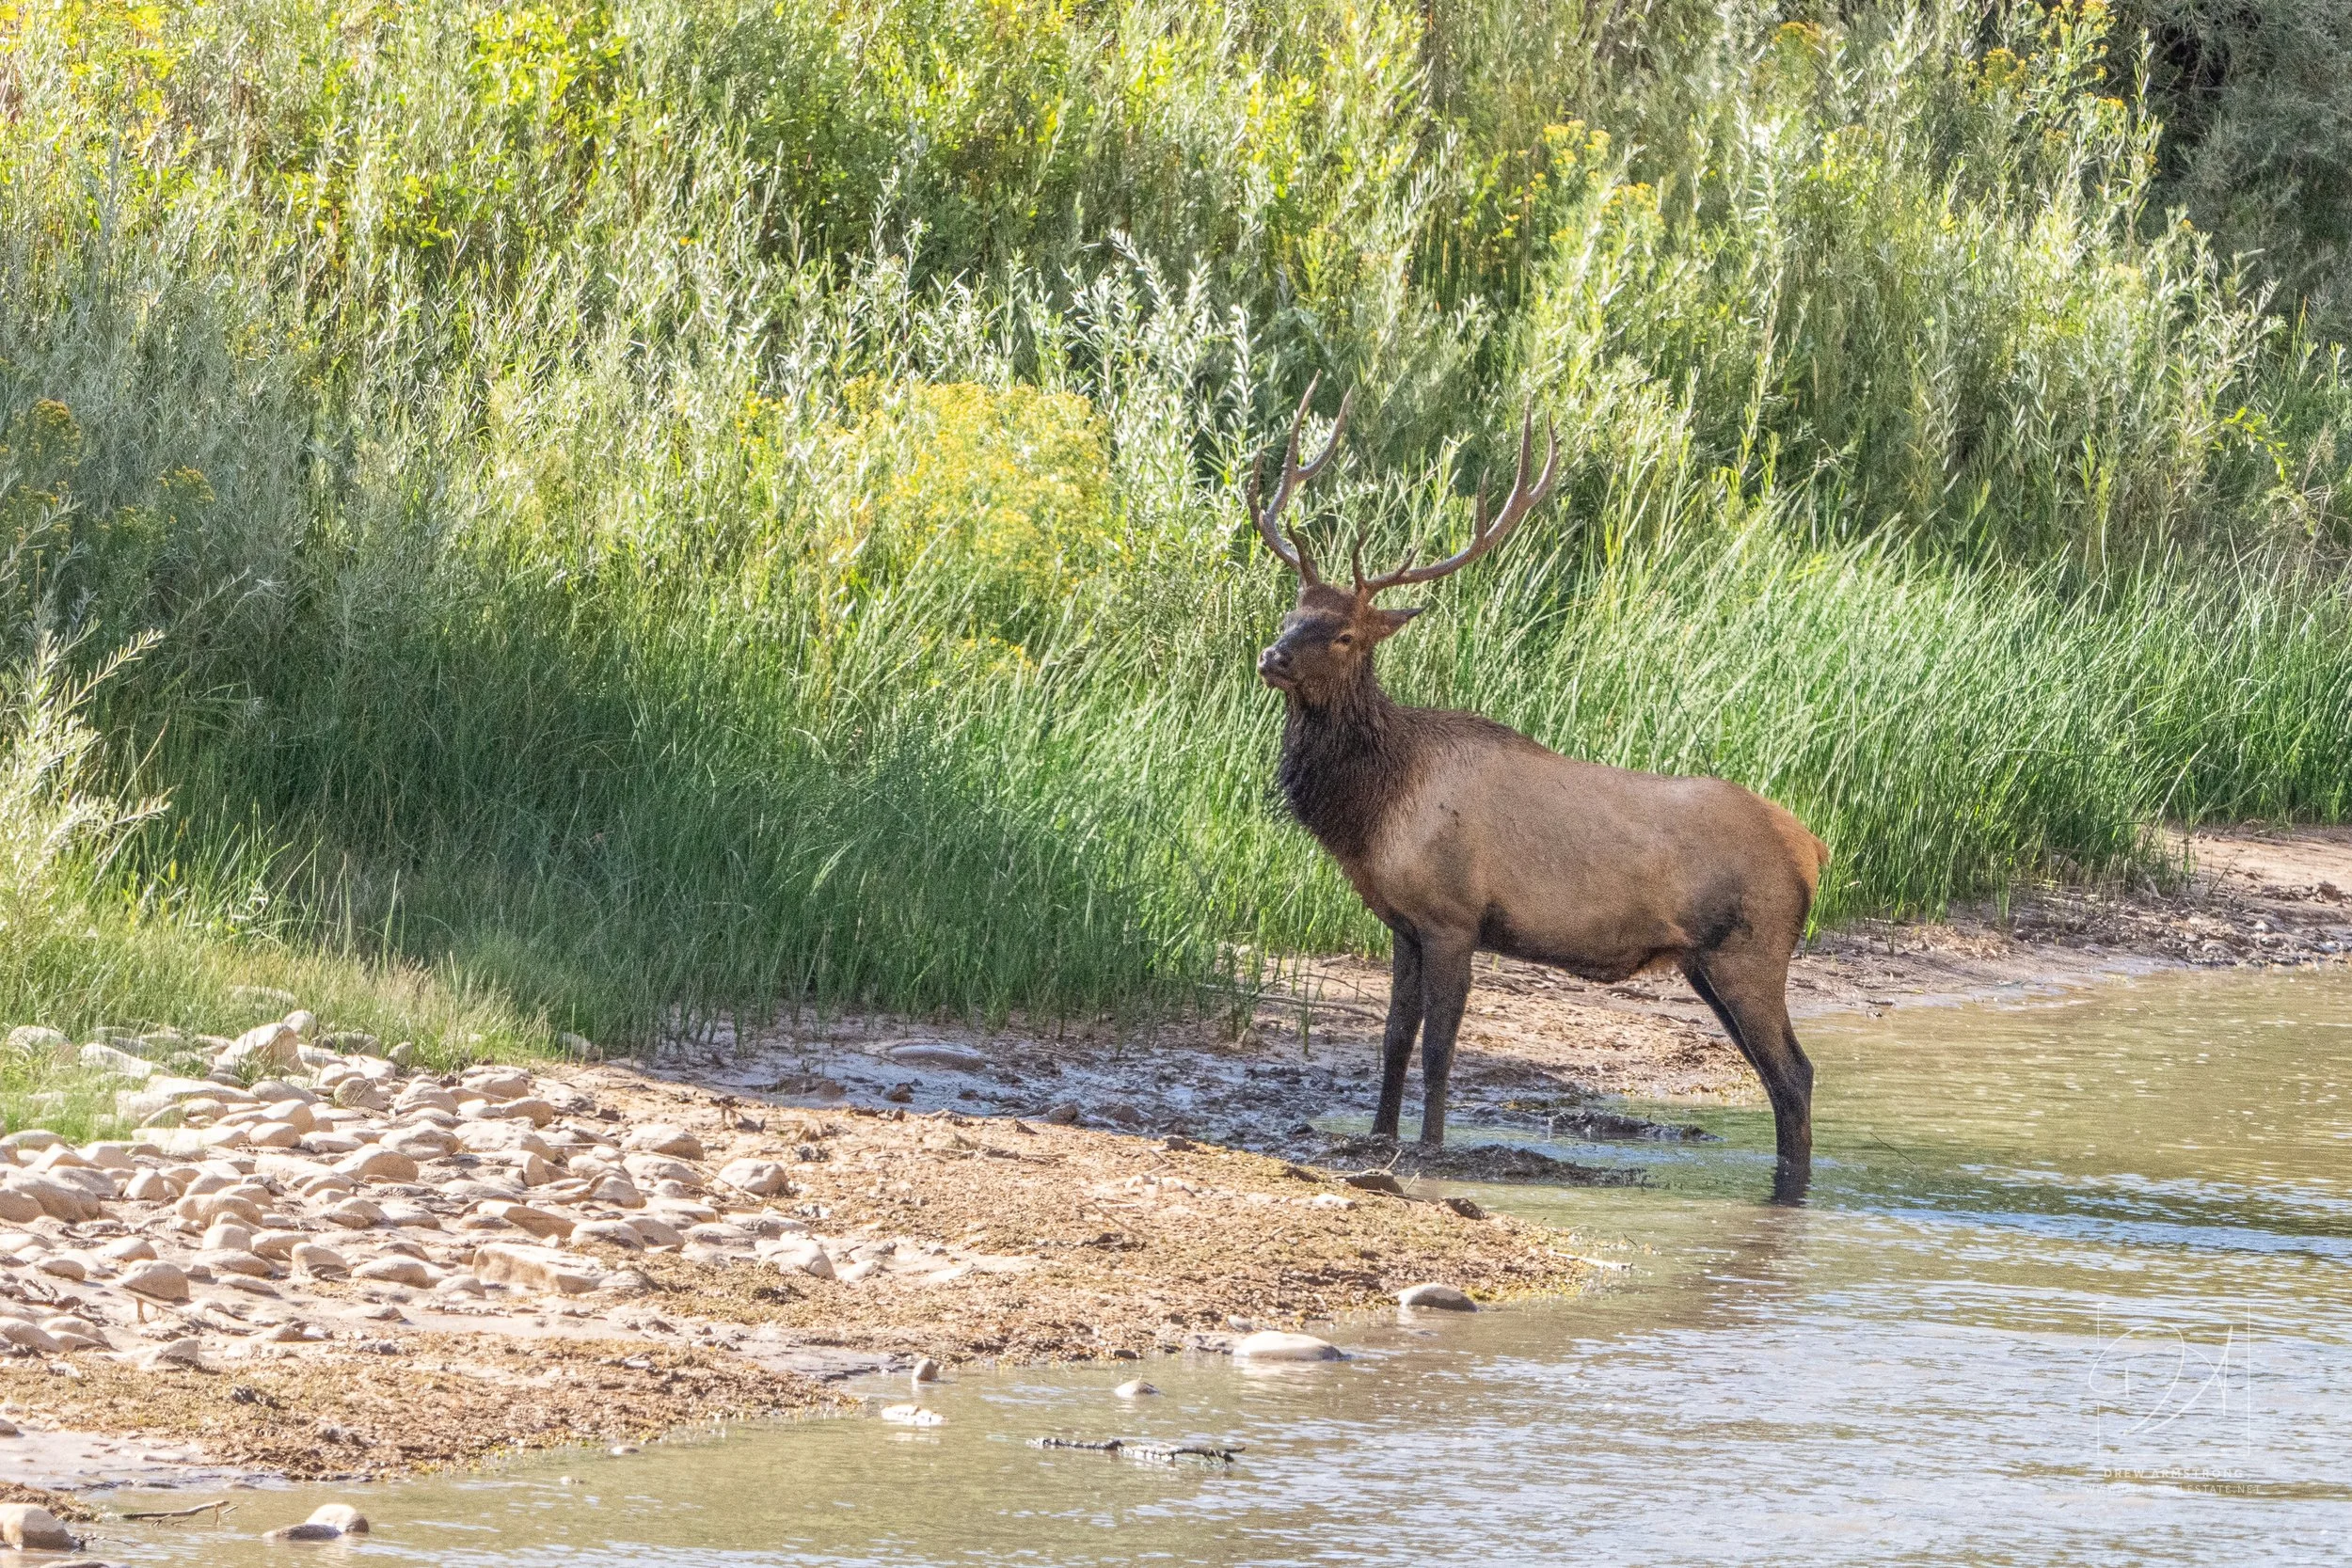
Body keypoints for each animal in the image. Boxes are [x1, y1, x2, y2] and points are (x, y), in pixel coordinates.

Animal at [1250, 382, 1832, 1199]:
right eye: (1290, 612)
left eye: (1344, 634)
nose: (1270, 657)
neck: (1376, 811)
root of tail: (1813, 846)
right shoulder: (1402, 921)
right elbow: (1394, 1036)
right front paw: (1377, 1135)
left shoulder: (1454, 914)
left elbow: (1440, 1044)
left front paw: (1428, 1148)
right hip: (1708, 962)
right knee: (1778, 1076)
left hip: (1751, 949)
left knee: (1795, 1073)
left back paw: (1792, 1190)